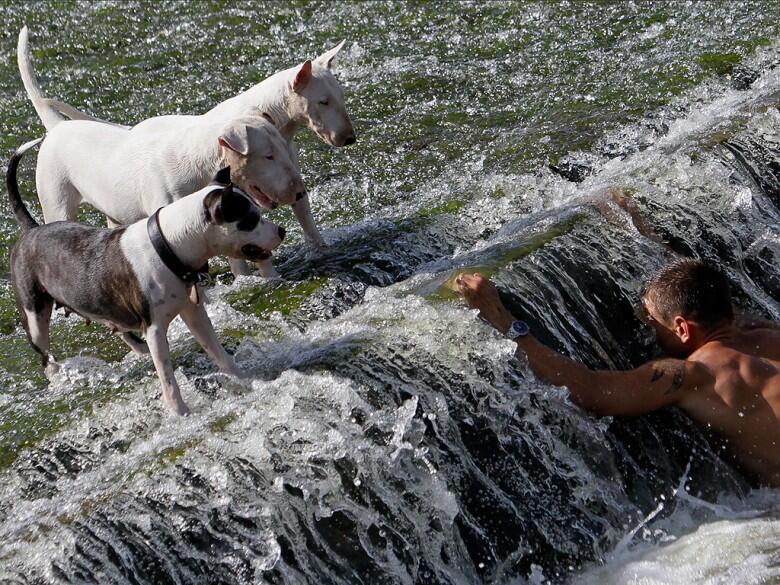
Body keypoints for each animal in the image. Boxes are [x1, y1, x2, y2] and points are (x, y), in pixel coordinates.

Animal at [8, 140, 284, 416]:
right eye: (251, 219)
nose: (281, 230)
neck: (170, 244)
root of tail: (31, 231)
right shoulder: (155, 331)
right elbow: (168, 379)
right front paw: (179, 413)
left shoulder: (194, 313)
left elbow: (217, 351)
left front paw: (244, 379)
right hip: (35, 316)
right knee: (43, 354)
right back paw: (56, 375)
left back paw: (138, 348)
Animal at [17, 28, 356, 280]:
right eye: (323, 101)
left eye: (340, 97)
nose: (349, 138)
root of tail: (58, 127)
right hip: (57, 203)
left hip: (113, 212)